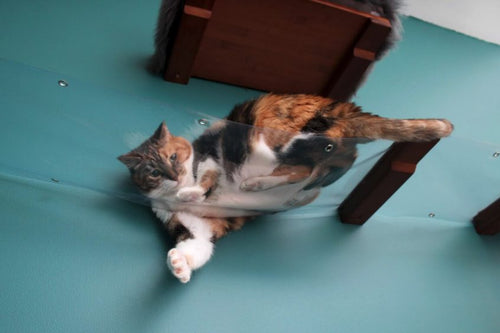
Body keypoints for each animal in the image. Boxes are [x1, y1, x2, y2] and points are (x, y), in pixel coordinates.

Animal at [118, 93, 454, 282]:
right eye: (153, 172)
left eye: (173, 157)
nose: (172, 176)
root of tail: (345, 107)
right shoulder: (197, 227)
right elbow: (197, 249)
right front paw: (178, 265)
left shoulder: (210, 158)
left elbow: (205, 181)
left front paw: (191, 191)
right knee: (330, 166)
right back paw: (295, 192)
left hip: (274, 138)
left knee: (311, 162)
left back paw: (258, 183)